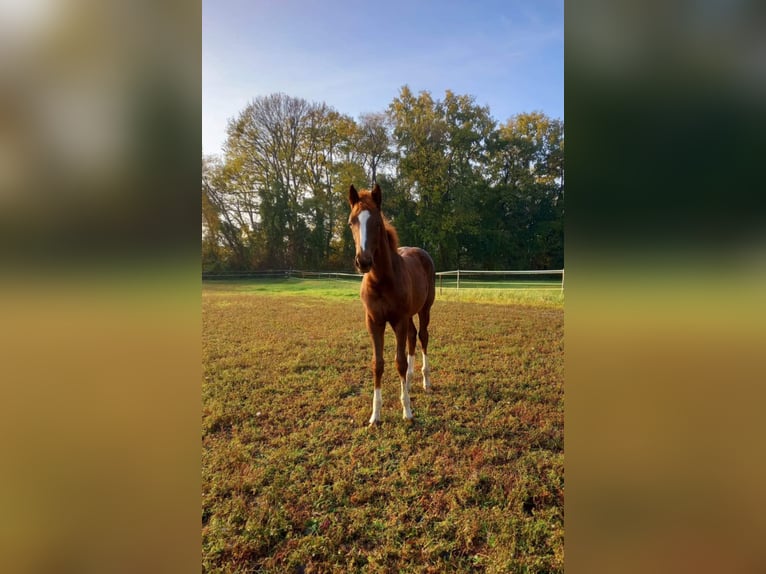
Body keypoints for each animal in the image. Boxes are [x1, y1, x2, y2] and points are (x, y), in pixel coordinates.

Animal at [350, 184, 438, 428]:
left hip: (424, 309)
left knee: (423, 336)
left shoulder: (398, 320)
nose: (363, 261)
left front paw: (407, 411)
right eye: (352, 222)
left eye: (377, 223)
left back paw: (425, 382)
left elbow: (399, 362)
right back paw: (407, 384)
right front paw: (375, 415)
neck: (381, 280)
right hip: (408, 316)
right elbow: (378, 364)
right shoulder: (374, 322)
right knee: (412, 336)